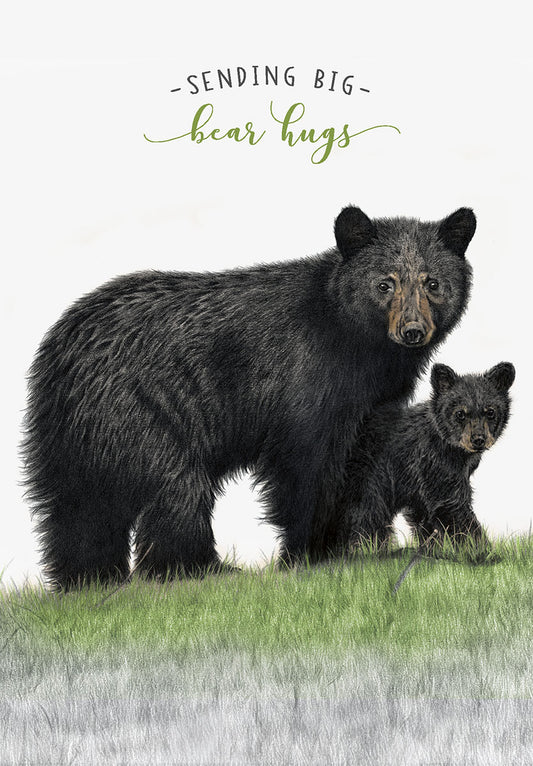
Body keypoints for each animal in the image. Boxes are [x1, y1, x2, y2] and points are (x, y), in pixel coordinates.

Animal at [22, 205, 477, 589]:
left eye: (433, 283)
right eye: (385, 283)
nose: (413, 331)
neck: (360, 345)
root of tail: (60, 348)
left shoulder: (373, 406)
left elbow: (365, 466)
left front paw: (357, 546)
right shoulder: (308, 381)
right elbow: (305, 465)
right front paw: (310, 553)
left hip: (75, 437)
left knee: (78, 510)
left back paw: (88, 580)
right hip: (142, 410)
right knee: (174, 489)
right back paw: (199, 569)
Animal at [337, 361, 515, 551]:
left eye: (490, 412)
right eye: (460, 413)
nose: (478, 439)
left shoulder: (419, 480)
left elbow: (424, 514)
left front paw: (434, 548)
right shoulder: (433, 461)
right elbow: (451, 504)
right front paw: (481, 549)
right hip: (367, 476)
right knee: (369, 514)